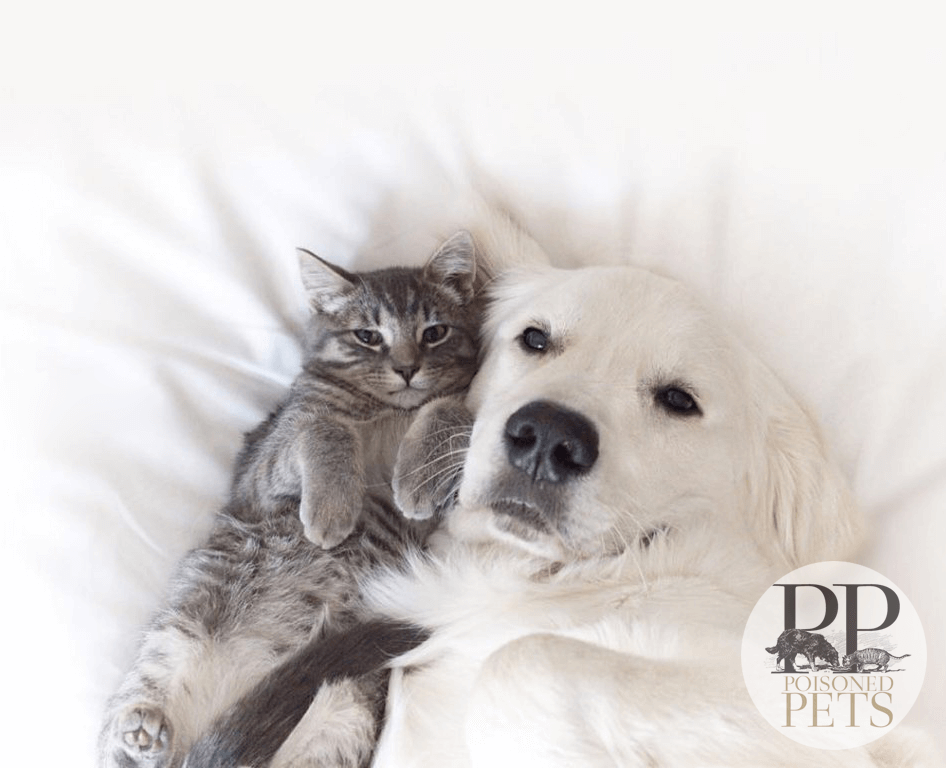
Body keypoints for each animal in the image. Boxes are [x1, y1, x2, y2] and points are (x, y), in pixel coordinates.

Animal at [99, 232, 484, 768]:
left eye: (435, 332)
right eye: (367, 336)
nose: (407, 368)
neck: (389, 413)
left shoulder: (440, 501)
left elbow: (452, 409)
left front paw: (416, 475)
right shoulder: (260, 472)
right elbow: (322, 425)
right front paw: (333, 507)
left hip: (348, 712)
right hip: (180, 625)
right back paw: (140, 730)